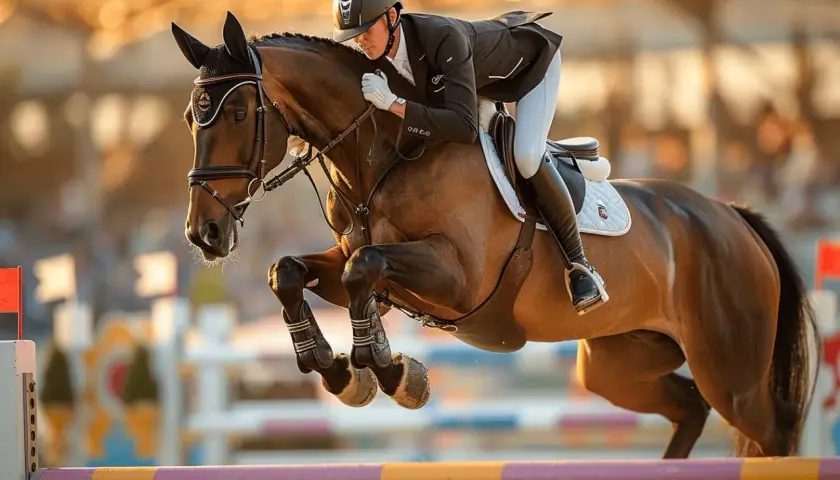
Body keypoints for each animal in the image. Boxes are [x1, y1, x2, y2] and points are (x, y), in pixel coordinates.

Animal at [173, 11, 818, 458]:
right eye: (189, 118)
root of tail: (731, 215)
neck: (387, 152)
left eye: (238, 114)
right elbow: (290, 271)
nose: (204, 234)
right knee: (687, 408)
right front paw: (342, 372)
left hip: (730, 371)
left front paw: (390, 372)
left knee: (771, 430)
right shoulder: (354, 258)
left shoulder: (458, 278)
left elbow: (365, 270)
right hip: (618, 364)